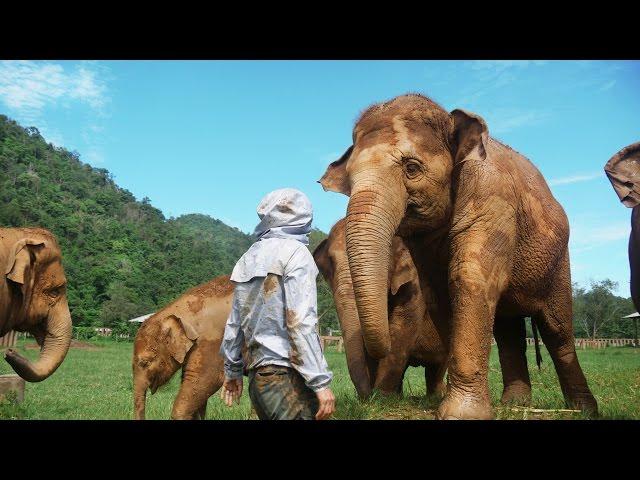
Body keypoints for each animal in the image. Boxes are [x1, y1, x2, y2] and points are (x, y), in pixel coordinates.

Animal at [312, 218, 448, 398]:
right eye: (331, 261)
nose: (366, 396)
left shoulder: (415, 281)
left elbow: (403, 324)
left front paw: (382, 397)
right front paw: (379, 397)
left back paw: (436, 396)